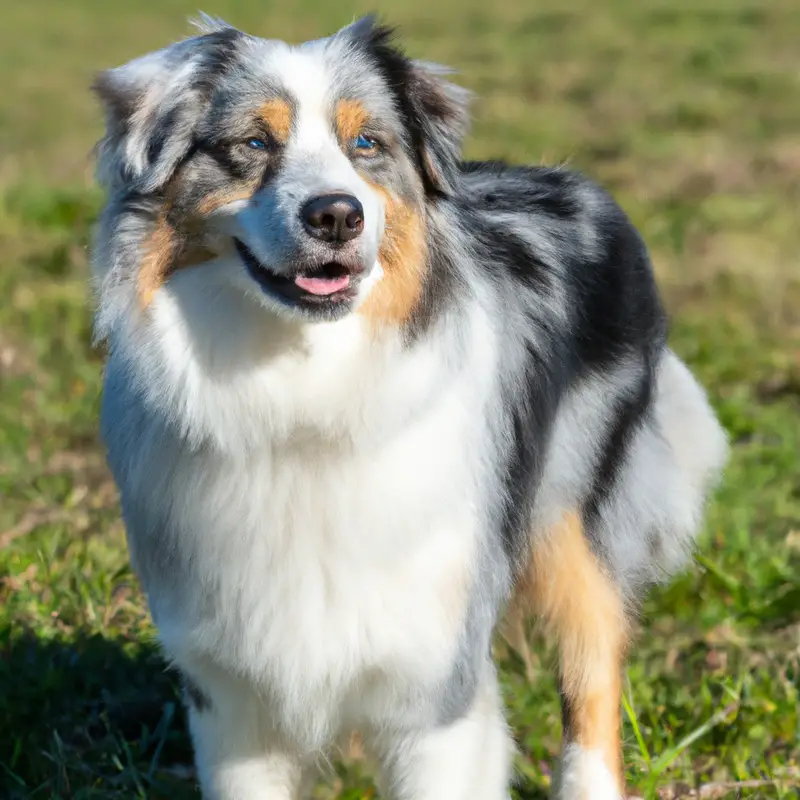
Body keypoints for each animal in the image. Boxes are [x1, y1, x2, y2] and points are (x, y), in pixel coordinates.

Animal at [90, 14, 728, 800]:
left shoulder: (433, 678)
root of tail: (574, 179)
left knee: (592, 671)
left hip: (578, 514)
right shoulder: (230, 694)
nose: (337, 214)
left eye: (366, 143)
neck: (302, 394)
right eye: (254, 143)